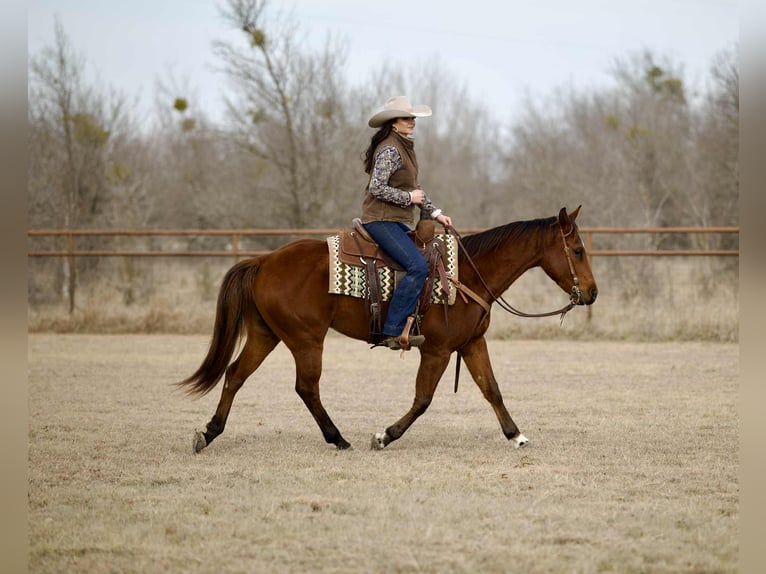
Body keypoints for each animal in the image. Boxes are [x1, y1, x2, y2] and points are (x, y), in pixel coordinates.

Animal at [177, 206, 598, 452]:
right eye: (577, 250)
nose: (592, 293)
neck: (466, 273)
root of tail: (264, 260)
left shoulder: (471, 344)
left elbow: (491, 389)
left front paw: (516, 435)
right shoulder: (437, 350)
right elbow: (423, 399)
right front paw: (384, 435)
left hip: (268, 334)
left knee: (235, 375)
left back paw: (209, 432)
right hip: (306, 339)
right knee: (306, 388)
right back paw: (338, 438)